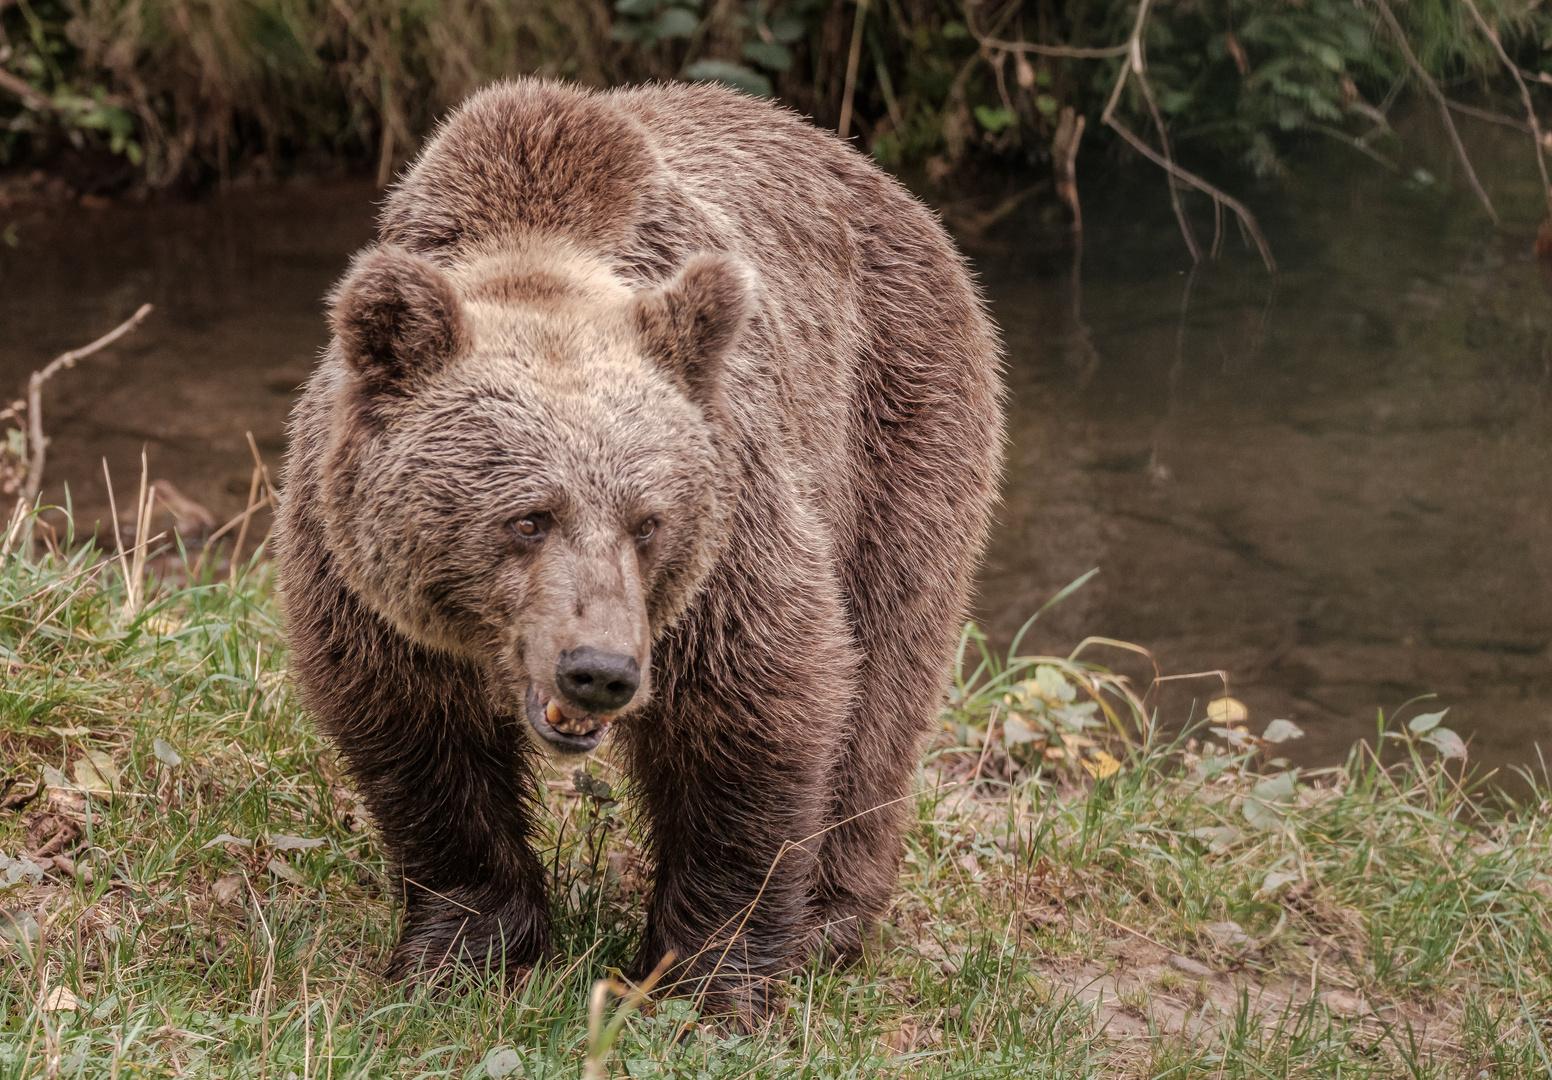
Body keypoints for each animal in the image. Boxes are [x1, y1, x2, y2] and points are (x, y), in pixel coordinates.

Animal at [276, 77, 1005, 1017]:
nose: (600, 670)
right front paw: (460, 947)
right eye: (528, 517)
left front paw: (705, 982)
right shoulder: (358, 574)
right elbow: (416, 736)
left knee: (886, 669)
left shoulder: (729, 539)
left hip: (897, 415)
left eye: (646, 520)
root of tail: (882, 182)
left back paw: (829, 918)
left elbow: (760, 708)